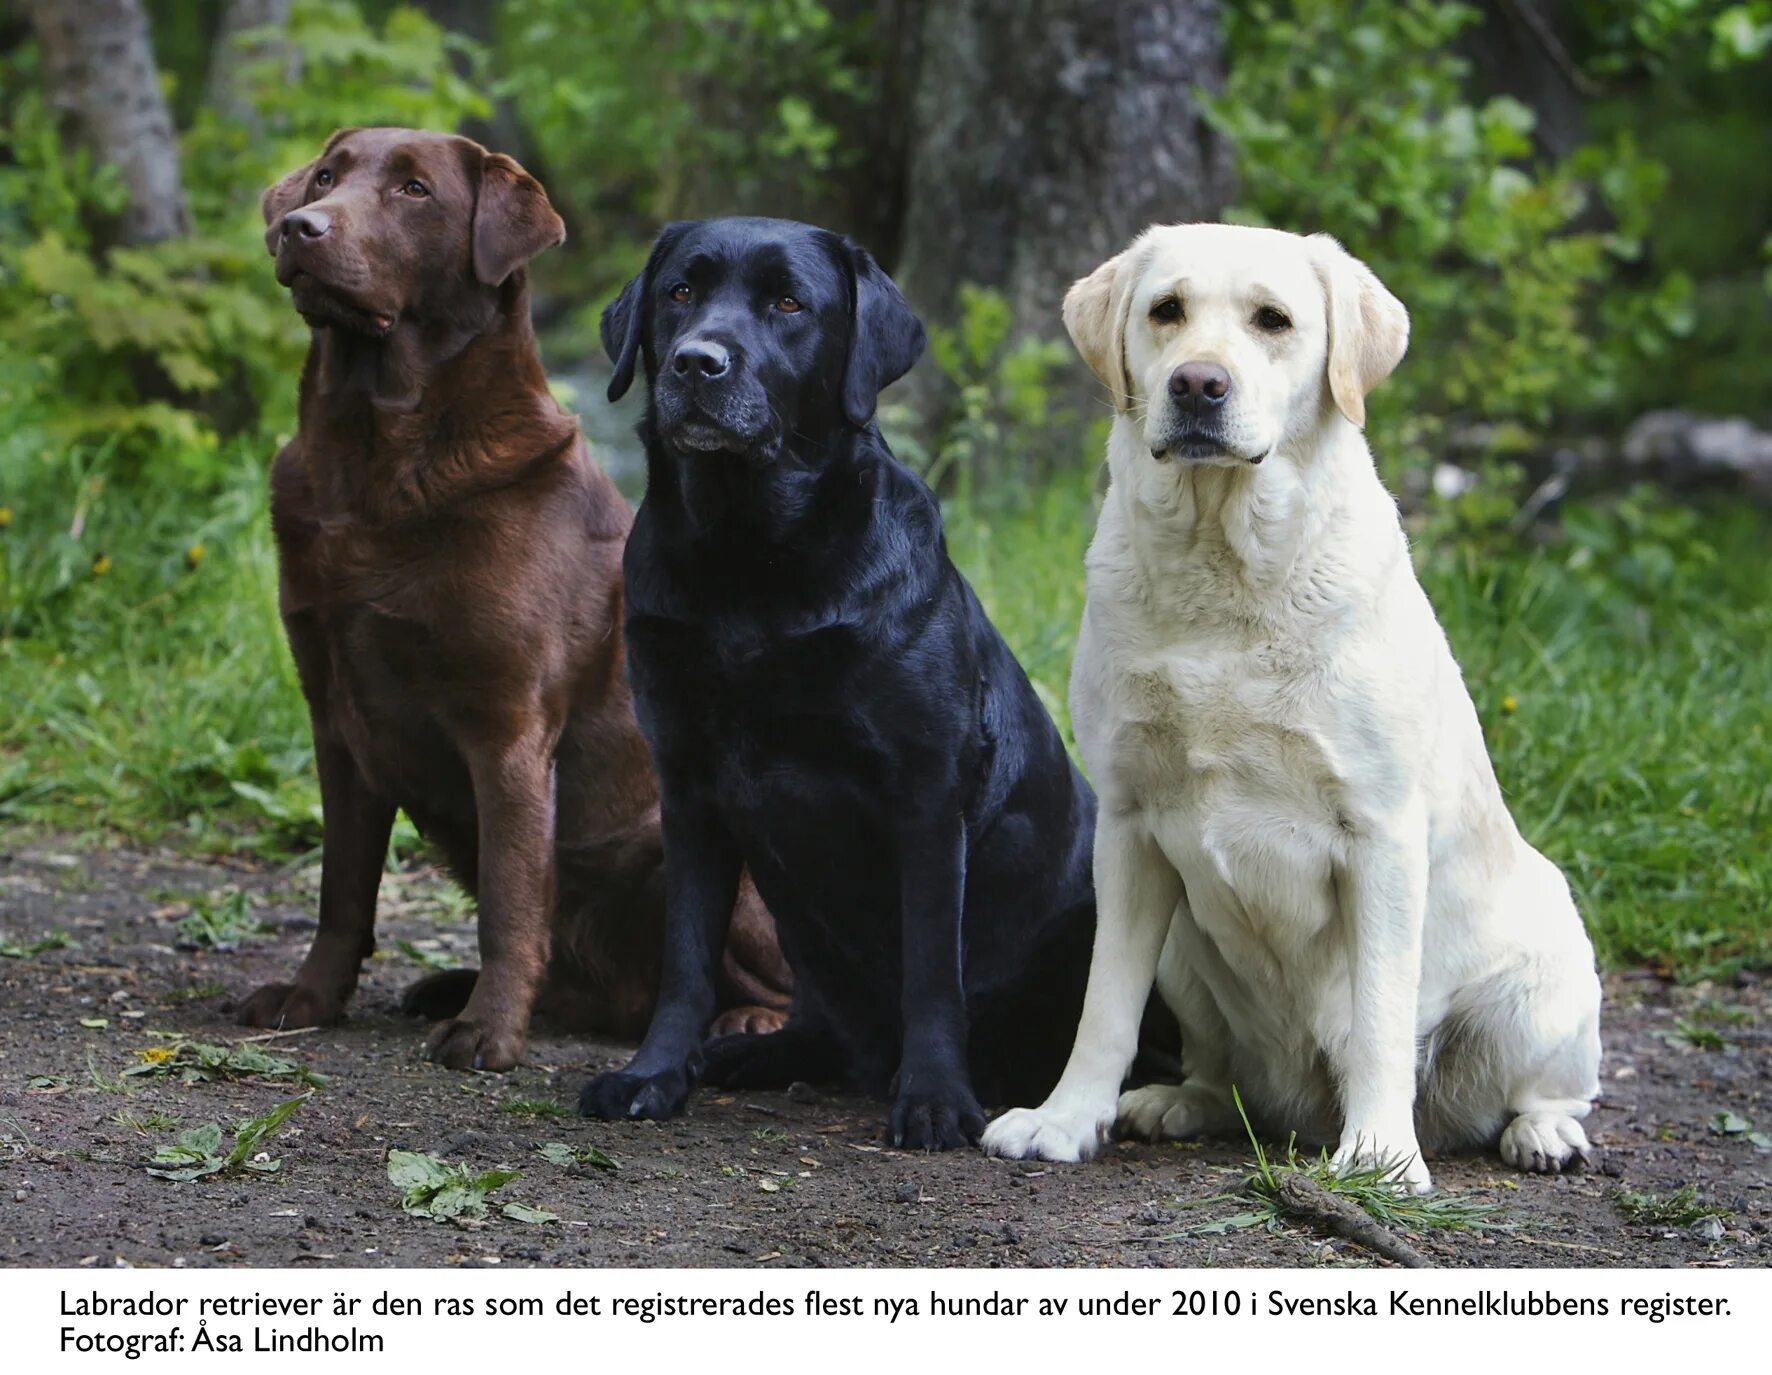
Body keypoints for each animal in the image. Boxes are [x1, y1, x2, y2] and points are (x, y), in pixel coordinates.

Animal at [237, 129, 790, 1070]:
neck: (374, 457)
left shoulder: (509, 727)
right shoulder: (336, 721)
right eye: (324, 178)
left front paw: (489, 1031)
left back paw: (745, 1024)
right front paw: (310, 999)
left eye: (414, 190)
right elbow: (342, 889)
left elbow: (509, 896)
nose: (301, 228)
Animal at [577, 217, 1091, 1148]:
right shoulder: (688, 789)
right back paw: (752, 1053)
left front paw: (934, 1097)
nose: (696, 363)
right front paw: (653, 1074)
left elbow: (932, 970)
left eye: (788, 303)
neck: (750, 558)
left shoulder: (926, 796)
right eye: (679, 292)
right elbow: (685, 961)